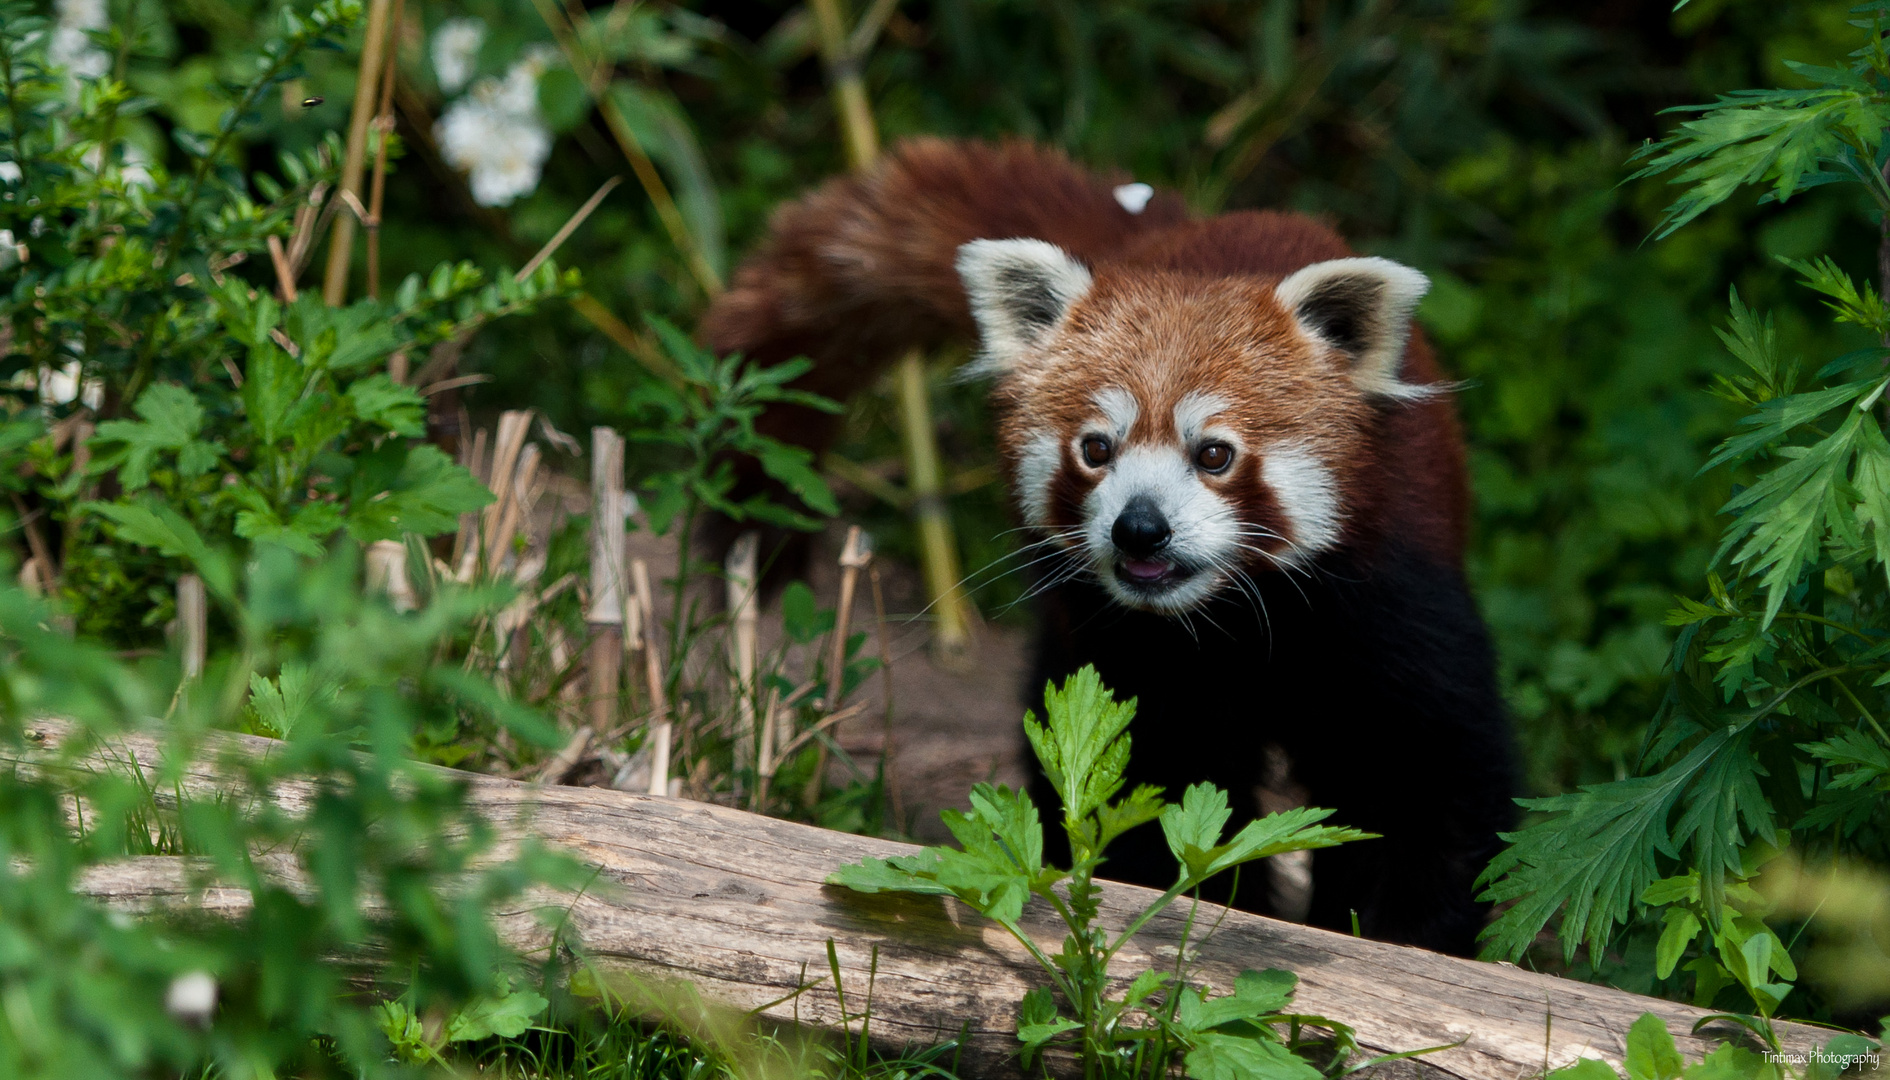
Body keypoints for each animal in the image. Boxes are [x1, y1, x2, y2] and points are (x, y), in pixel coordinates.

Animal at [703, 139, 1512, 960]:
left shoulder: (1389, 607)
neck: (1234, 623)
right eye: (1097, 448)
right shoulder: (1136, 660)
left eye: (1214, 454)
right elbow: (1154, 783)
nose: (1139, 528)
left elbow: (1424, 781)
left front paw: (1404, 937)